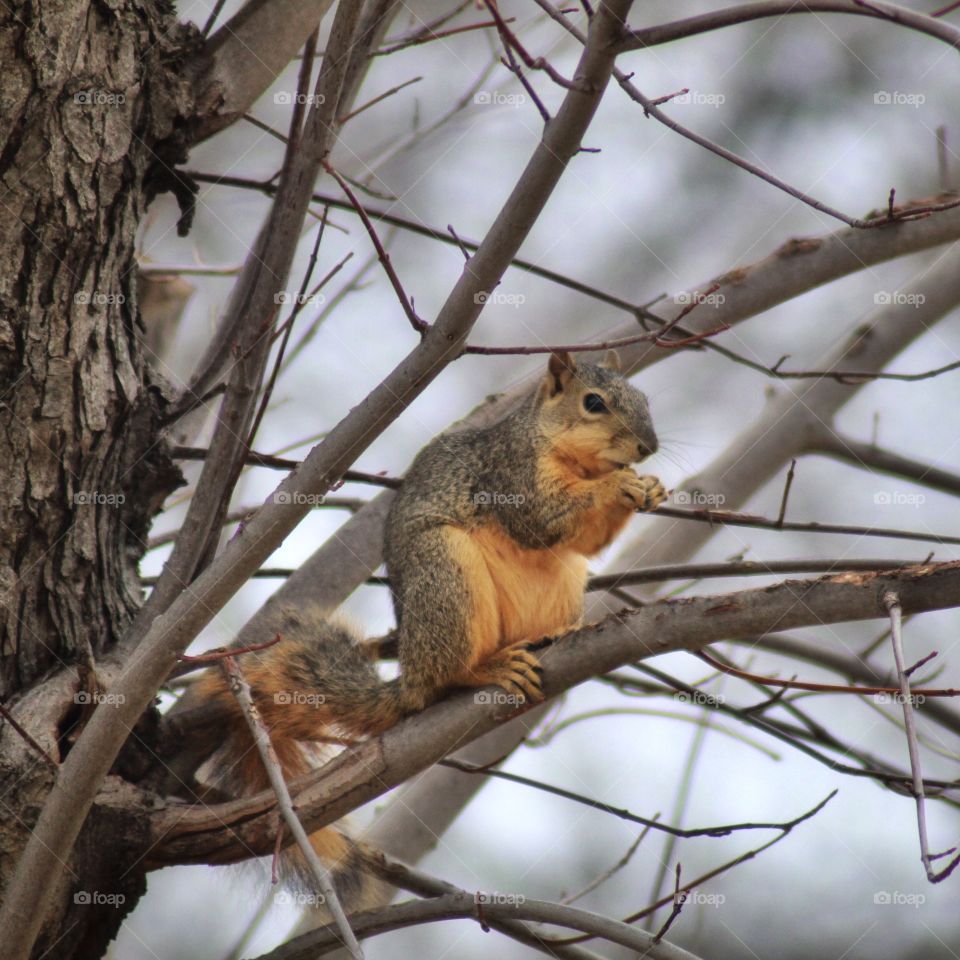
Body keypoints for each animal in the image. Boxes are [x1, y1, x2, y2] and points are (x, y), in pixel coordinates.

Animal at [186, 352, 668, 916]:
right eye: (594, 402)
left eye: (646, 399)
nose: (648, 447)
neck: (574, 460)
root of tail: (411, 674)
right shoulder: (509, 473)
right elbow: (540, 519)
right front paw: (621, 487)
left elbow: (585, 541)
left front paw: (649, 486)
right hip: (444, 573)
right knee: (446, 675)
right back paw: (487, 667)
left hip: (561, 582)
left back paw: (564, 633)